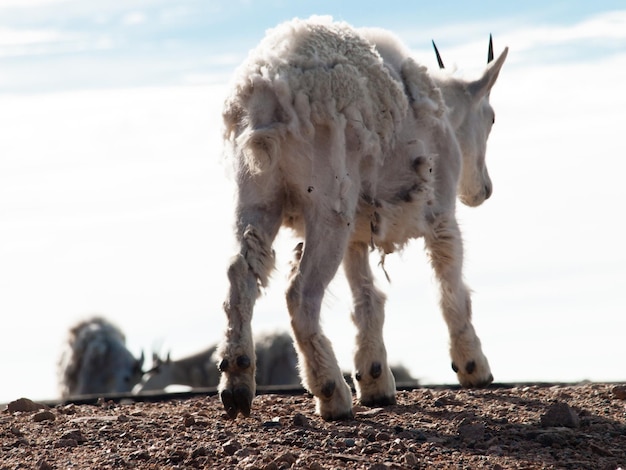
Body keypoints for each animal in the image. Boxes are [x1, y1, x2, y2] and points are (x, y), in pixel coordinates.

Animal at [217, 16, 504, 420]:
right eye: (491, 118)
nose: (483, 190)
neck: (444, 112)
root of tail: (265, 93)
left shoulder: (359, 231)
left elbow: (366, 299)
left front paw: (375, 381)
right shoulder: (441, 213)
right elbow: (451, 290)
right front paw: (473, 367)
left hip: (256, 195)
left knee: (240, 273)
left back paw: (237, 382)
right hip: (328, 203)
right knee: (300, 293)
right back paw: (331, 391)